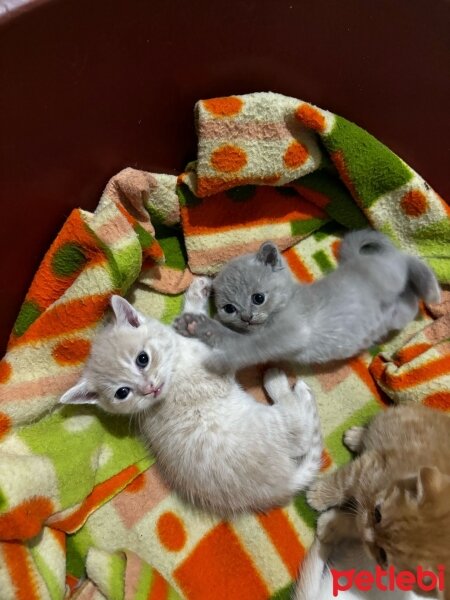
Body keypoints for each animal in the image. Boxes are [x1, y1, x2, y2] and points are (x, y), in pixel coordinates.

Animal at [59, 276, 322, 516]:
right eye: (122, 393)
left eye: (142, 359)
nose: (149, 388)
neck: (176, 362)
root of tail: (281, 485)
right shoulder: (216, 369)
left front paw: (196, 295)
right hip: (270, 423)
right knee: (300, 433)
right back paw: (285, 384)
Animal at [173, 229, 440, 372]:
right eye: (229, 308)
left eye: (258, 298)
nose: (247, 317)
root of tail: (356, 261)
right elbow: (231, 337)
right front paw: (194, 324)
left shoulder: (291, 332)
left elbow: (251, 346)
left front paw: (221, 362)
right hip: (396, 315)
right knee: (408, 299)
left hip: (389, 276)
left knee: (404, 258)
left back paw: (431, 288)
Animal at [304, 406, 448, 596]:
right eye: (377, 514)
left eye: (382, 555)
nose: (366, 532)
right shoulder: (369, 466)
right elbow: (342, 482)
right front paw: (319, 496)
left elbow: (353, 525)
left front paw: (329, 526)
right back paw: (357, 436)